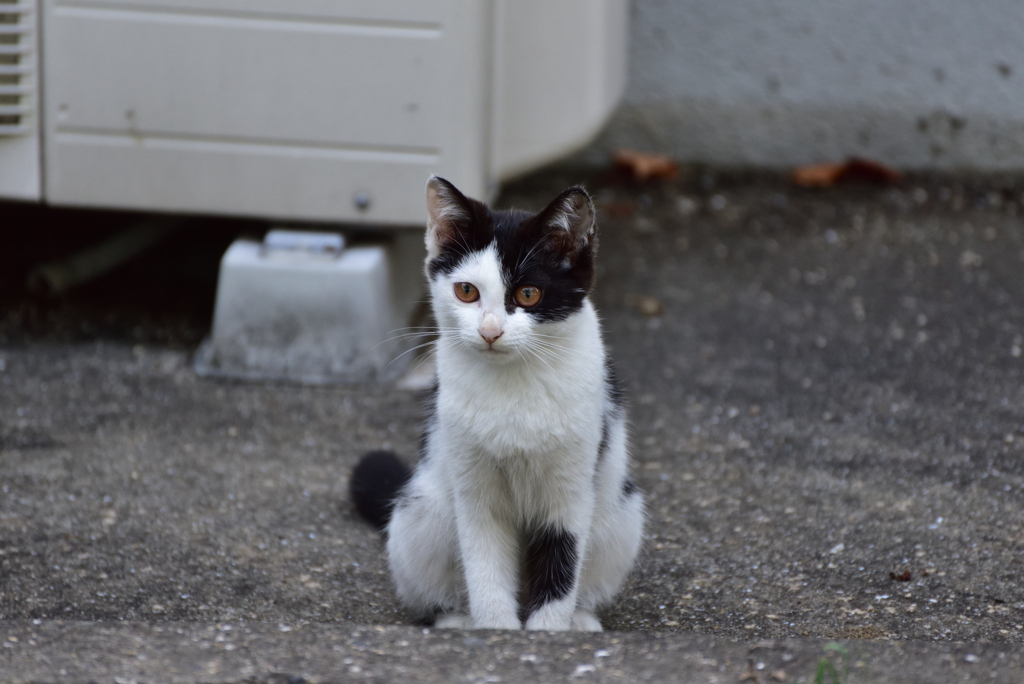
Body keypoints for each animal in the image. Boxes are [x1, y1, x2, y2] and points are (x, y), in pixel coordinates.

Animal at [348, 176, 643, 630]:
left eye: (528, 294)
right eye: (466, 291)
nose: (490, 331)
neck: (512, 388)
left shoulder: (572, 489)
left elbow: (561, 566)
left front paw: (548, 632)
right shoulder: (473, 489)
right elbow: (484, 568)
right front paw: (496, 631)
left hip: (622, 512)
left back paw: (581, 621)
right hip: (421, 509)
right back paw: (455, 620)